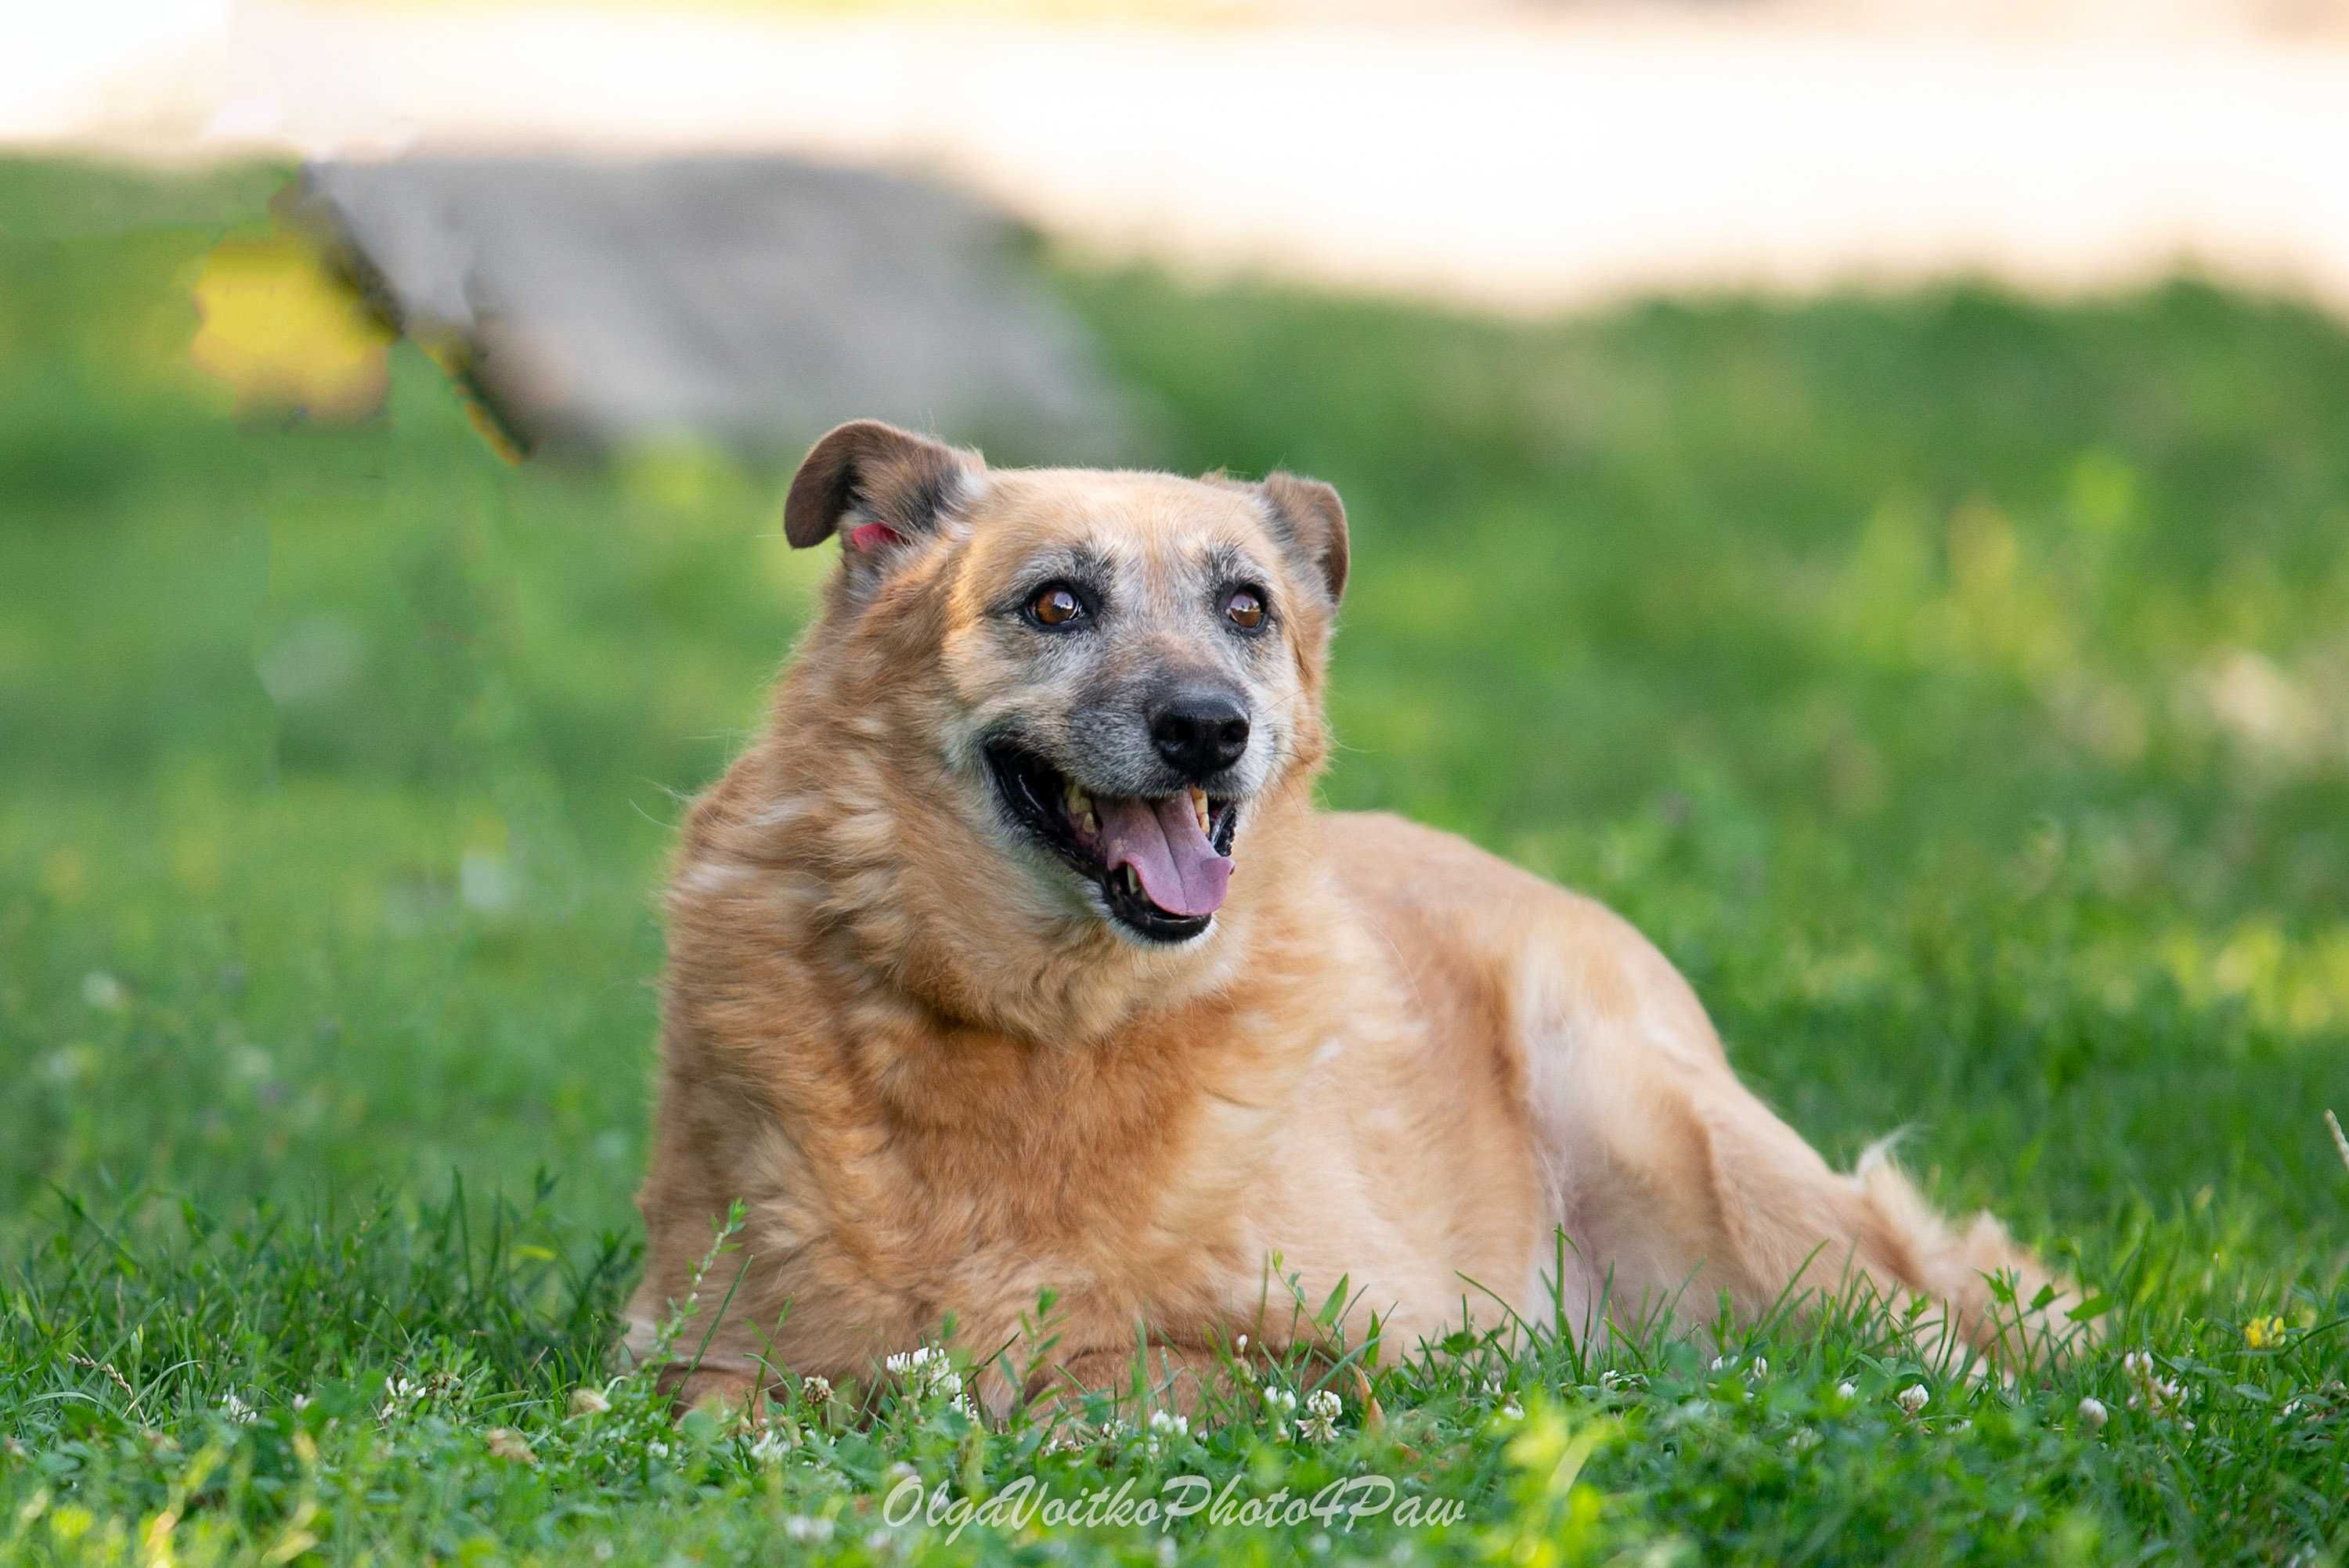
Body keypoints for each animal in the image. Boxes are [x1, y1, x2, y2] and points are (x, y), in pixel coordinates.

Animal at [625, 422, 2077, 1418]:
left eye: (1246, 606)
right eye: (1054, 602)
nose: (1209, 726)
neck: (1045, 1029)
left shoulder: (1382, 1344)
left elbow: (1110, 1364)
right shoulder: (688, 1349)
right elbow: (746, 1396)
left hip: (1691, 1161)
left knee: (1944, 1345)